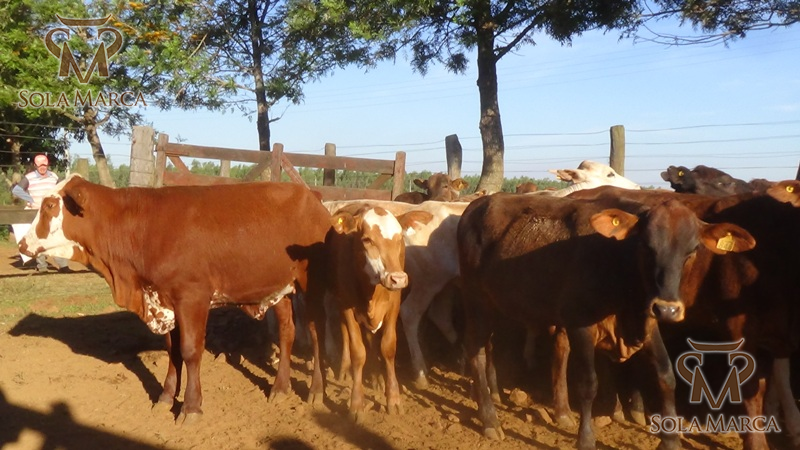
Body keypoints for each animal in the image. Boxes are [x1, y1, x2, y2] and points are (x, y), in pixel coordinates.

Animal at [18, 175, 332, 424]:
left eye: (50, 206)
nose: (22, 243)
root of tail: (312, 198)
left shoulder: (192, 298)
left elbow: (190, 351)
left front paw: (191, 407)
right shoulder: (164, 301)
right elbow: (173, 352)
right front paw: (166, 397)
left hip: (311, 286)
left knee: (317, 334)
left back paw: (316, 390)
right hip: (280, 289)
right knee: (287, 332)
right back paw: (280, 387)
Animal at [325, 203, 433, 419]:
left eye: (400, 238)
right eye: (367, 239)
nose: (398, 278)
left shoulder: (393, 305)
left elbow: (388, 347)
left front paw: (393, 398)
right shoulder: (347, 305)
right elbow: (358, 352)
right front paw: (356, 404)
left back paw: (376, 378)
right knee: (345, 333)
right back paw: (344, 370)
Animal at [456, 192, 755, 449]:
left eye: (692, 251)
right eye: (646, 247)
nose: (667, 309)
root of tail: (476, 205)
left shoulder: (647, 324)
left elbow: (666, 375)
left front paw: (670, 441)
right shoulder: (580, 325)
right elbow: (588, 384)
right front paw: (586, 439)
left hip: (495, 305)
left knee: (489, 346)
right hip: (476, 301)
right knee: (475, 351)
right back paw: (489, 419)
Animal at [569, 181, 800, 450]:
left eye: (694, 251)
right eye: (645, 248)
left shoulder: (778, 337)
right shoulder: (740, 331)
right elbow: (753, 388)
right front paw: (757, 441)